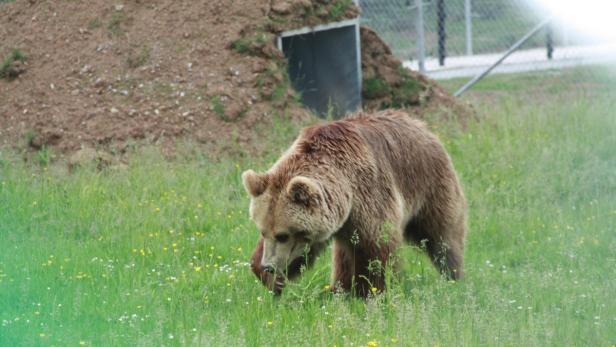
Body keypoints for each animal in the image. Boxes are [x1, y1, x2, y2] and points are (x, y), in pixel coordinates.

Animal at [241, 110, 466, 298]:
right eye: (263, 231)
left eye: (283, 235)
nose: (269, 266)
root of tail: (420, 124)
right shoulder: (330, 220)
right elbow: (305, 250)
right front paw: (272, 279)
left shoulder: (369, 195)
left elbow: (376, 249)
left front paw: (372, 290)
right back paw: (337, 289)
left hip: (429, 186)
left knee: (442, 234)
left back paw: (453, 275)